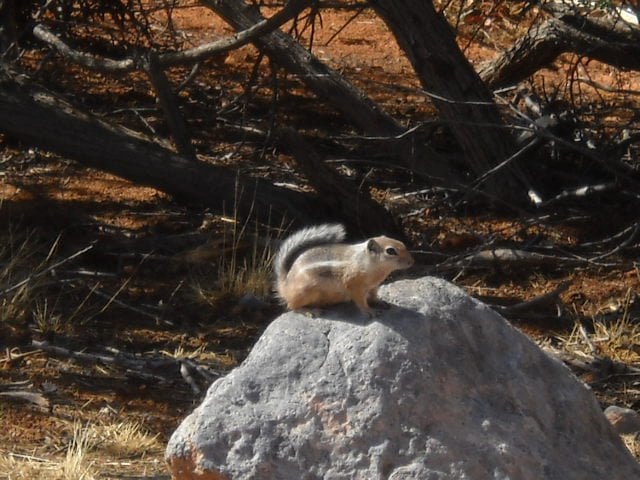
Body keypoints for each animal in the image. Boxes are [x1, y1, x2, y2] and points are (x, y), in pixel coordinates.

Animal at [272, 224, 412, 316]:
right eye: (391, 251)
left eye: (402, 243)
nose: (412, 261)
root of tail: (285, 285)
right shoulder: (354, 285)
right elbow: (361, 301)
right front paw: (370, 311)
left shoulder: (373, 286)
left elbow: (373, 295)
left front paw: (380, 302)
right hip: (305, 292)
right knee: (291, 306)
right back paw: (310, 311)